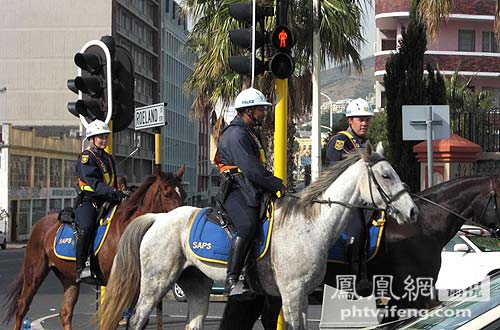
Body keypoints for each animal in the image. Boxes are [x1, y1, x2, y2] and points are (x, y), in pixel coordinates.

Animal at [1, 168, 186, 330]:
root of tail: (39, 224)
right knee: (22, 306)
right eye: (167, 194)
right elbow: (112, 319)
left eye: (183, 194)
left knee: (65, 313)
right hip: (34, 273)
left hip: (69, 279)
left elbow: (136, 321)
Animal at [96, 144, 418, 330]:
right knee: (137, 319)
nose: (412, 211)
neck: (311, 224)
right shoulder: (291, 293)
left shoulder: (300, 296)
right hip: (156, 282)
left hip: (196, 283)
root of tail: (159, 218)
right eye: (386, 175)